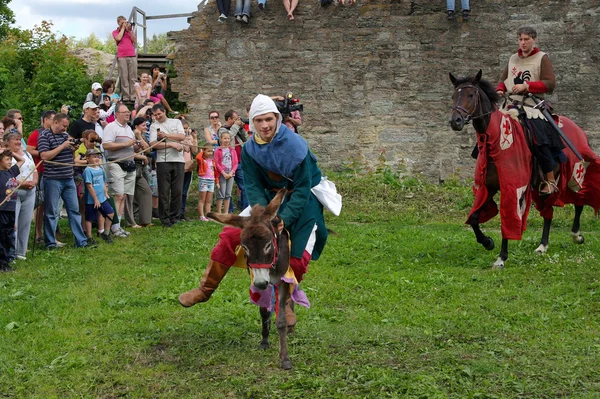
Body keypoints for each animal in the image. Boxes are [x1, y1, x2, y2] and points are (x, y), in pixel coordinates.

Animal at [207, 189, 296, 370]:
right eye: (245, 247)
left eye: (268, 245)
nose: (262, 283)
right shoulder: (255, 277)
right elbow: (263, 311)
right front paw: (264, 340)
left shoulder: (282, 279)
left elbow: (281, 320)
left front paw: (284, 357)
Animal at [448, 69, 600, 268]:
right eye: (453, 96)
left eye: (471, 95)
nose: (455, 121)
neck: (495, 141)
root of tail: (579, 130)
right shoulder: (488, 187)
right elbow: (474, 218)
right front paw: (488, 242)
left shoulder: (513, 189)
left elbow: (509, 219)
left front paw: (501, 258)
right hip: (540, 188)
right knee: (548, 212)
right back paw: (543, 246)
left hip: (575, 173)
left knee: (579, 201)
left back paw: (576, 236)